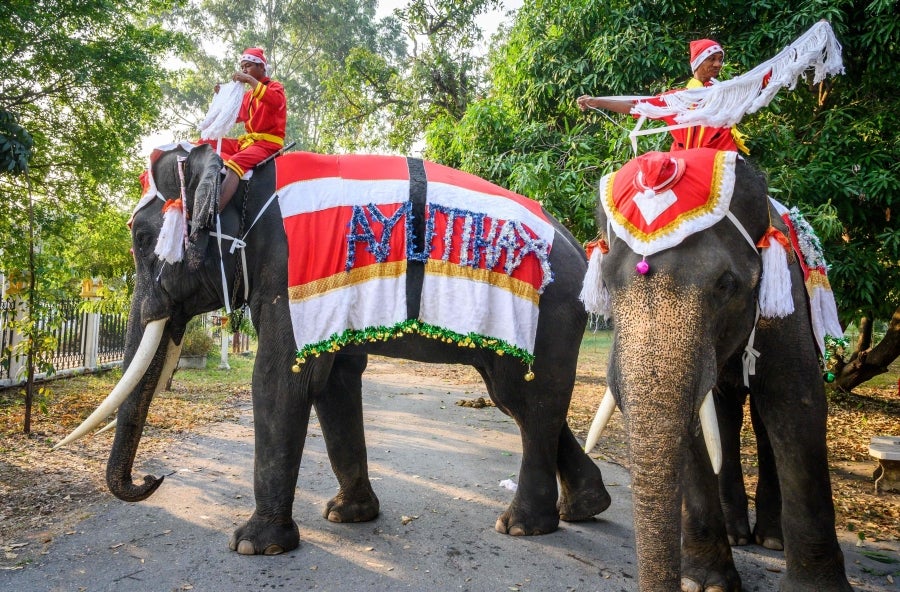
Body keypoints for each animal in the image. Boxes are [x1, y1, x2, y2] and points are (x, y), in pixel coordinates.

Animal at [57, 143, 611, 556]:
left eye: (142, 238)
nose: (154, 477)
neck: (241, 178)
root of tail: (581, 251)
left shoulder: (285, 269)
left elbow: (280, 379)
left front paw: (253, 545)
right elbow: (335, 381)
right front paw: (347, 516)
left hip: (549, 313)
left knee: (527, 400)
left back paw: (522, 526)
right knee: (517, 399)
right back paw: (585, 508)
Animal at [582, 148, 850, 591]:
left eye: (726, 285)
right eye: (606, 282)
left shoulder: (788, 303)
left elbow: (796, 407)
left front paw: (816, 588)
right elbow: (695, 427)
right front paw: (705, 583)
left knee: (761, 422)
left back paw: (770, 539)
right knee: (723, 416)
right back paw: (739, 535)